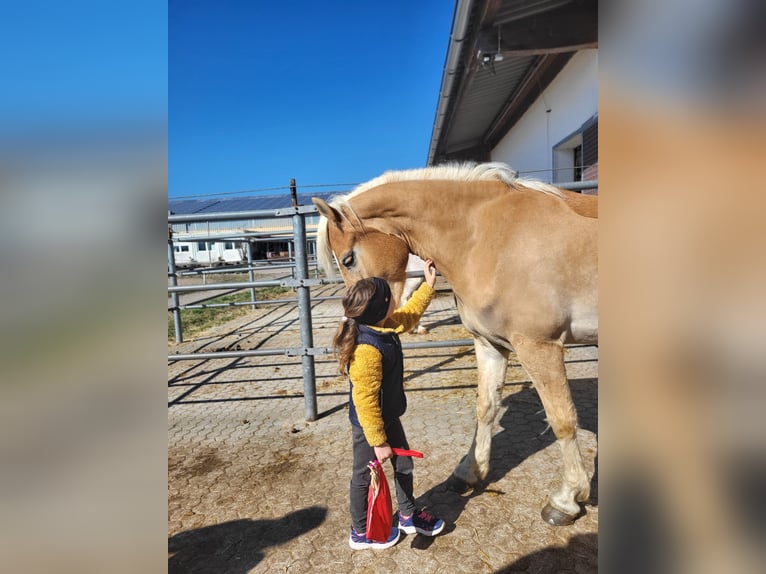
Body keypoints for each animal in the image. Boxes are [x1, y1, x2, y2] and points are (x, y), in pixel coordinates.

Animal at [314, 162, 600, 528]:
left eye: (348, 259)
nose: (358, 322)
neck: (490, 236)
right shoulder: (489, 345)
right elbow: (486, 408)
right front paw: (468, 473)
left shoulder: (539, 346)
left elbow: (562, 419)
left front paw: (567, 499)